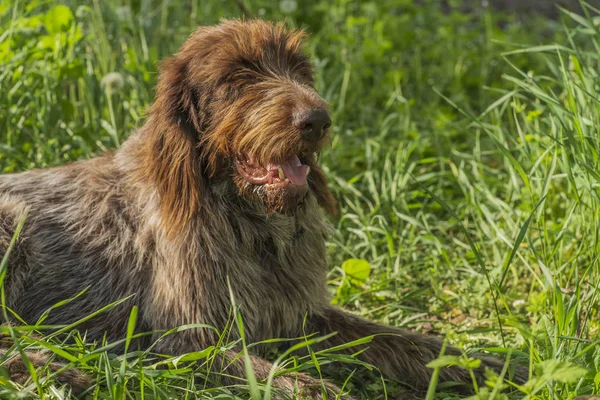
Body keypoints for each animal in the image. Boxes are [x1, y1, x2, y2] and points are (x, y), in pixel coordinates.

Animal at [0, 20, 520, 398]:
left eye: (300, 70)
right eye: (239, 77)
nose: (317, 120)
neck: (252, 225)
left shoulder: (302, 316)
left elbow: (403, 341)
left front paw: (486, 365)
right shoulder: (185, 340)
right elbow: (287, 381)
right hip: (12, 227)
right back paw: (56, 371)